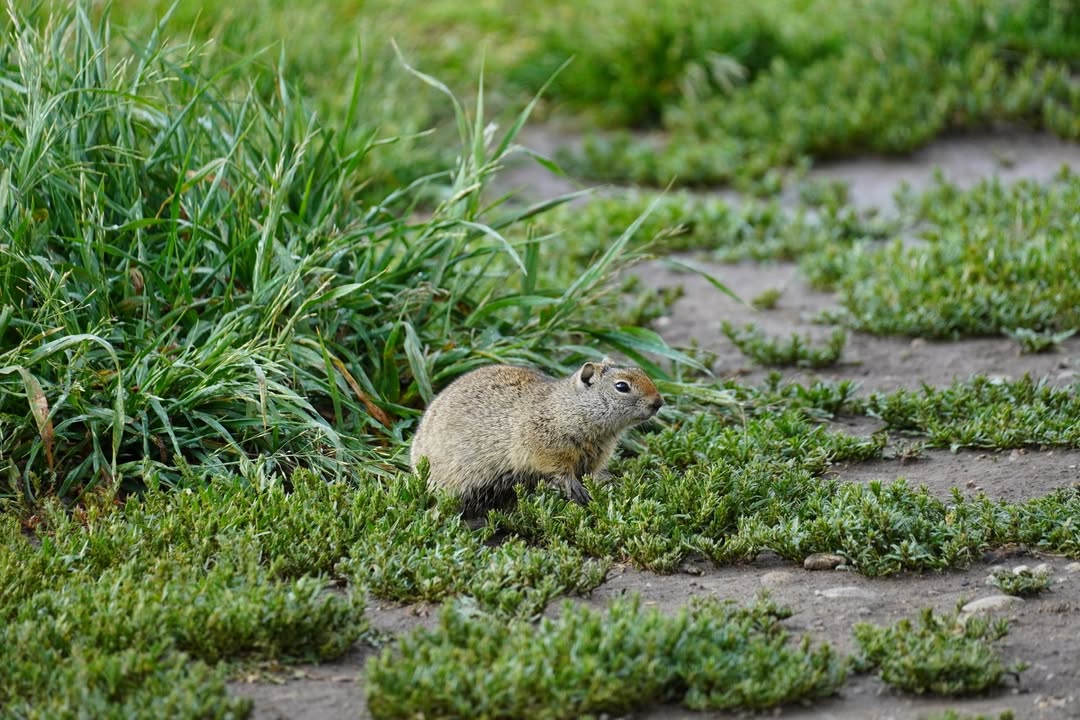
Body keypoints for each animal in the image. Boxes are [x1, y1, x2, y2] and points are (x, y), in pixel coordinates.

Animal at [410, 357, 664, 514]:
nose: (659, 402)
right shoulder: (545, 447)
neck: (567, 408)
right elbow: (560, 470)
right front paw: (578, 491)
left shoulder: (594, 457)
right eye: (622, 387)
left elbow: (588, 474)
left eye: (641, 371)